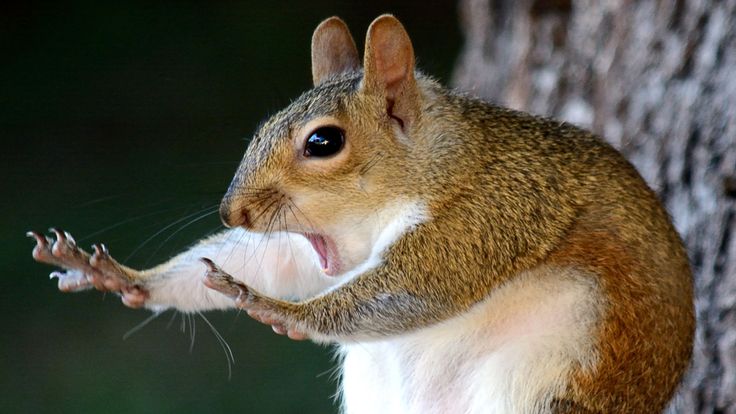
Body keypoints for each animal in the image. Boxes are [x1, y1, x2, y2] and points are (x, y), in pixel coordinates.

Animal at [29, 14, 694, 414]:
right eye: (264, 125)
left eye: (323, 142)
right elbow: (269, 261)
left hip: (547, 386)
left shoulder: (493, 211)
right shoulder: (310, 246)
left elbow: (417, 288)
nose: (233, 210)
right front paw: (123, 277)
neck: (439, 164)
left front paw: (280, 311)